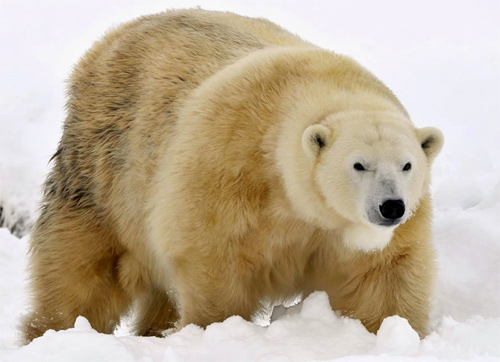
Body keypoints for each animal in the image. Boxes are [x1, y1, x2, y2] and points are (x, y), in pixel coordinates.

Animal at [22, 7, 442, 342]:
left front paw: (387, 334)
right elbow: (214, 261)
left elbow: (383, 281)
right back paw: (54, 331)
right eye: (358, 164)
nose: (391, 207)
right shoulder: (229, 167)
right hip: (104, 168)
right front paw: (216, 330)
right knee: (80, 271)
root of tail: (109, 39)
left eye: (407, 165)